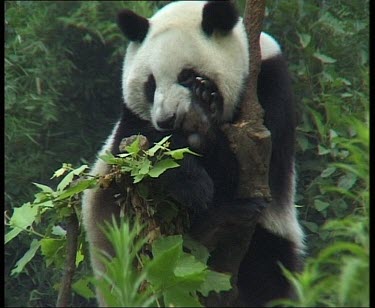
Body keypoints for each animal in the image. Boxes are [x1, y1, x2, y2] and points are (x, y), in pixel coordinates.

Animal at [82, 1, 306, 306]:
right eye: (150, 84)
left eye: (186, 76)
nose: (166, 119)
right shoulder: (131, 123)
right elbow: (139, 156)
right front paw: (194, 183)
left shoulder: (270, 86)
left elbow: (253, 165)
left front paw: (202, 118)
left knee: (268, 273)